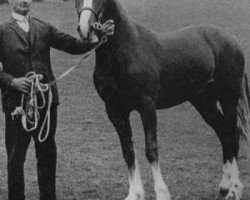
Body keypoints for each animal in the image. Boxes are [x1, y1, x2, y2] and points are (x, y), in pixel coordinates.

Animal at [75, 0, 249, 200]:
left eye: (101, 1)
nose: (85, 29)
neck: (127, 51)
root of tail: (230, 39)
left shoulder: (147, 106)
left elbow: (151, 150)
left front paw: (161, 193)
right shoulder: (115, 111)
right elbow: (128, 152)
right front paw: (135, 193)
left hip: (229, 98)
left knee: (232, 133)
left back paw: (234, 189)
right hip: (204, 101)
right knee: (223, 132)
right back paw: (224, 186)